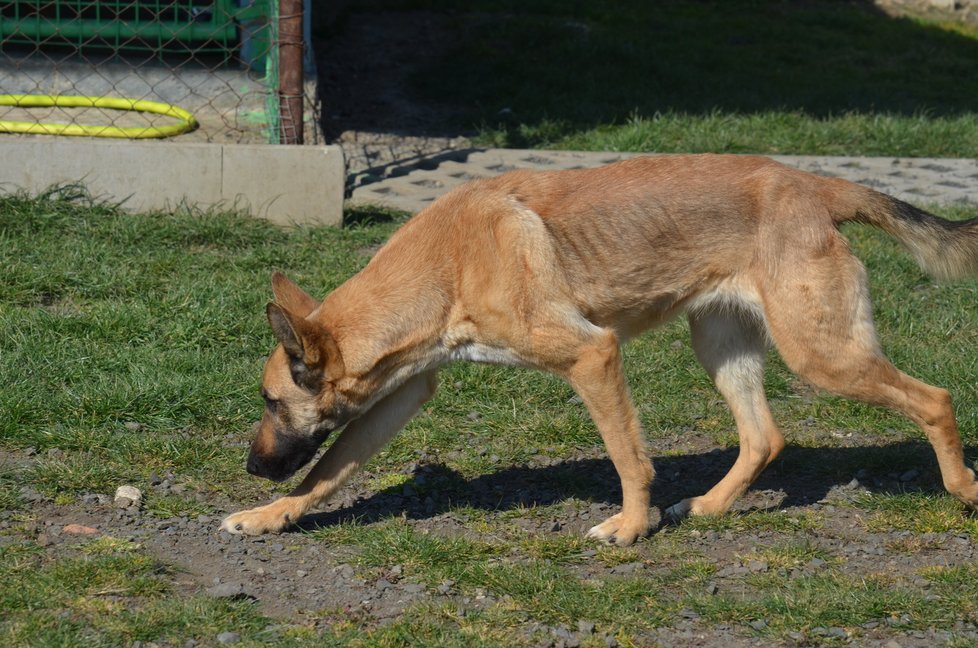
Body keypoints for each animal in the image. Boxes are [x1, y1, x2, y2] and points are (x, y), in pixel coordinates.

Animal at [221, 154, 976, 544]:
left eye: (269, 401)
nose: (253, 469)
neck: (446, 263)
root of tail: (815, 184)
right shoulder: (402, 393)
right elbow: (329, 470)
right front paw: (271, 516)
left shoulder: (594, 357)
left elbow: (628, 459)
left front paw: (633, 527)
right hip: (723, 348)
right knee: (765, 438)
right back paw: (709, 507)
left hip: (823, 355)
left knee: (935, 399)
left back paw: (962, 488)